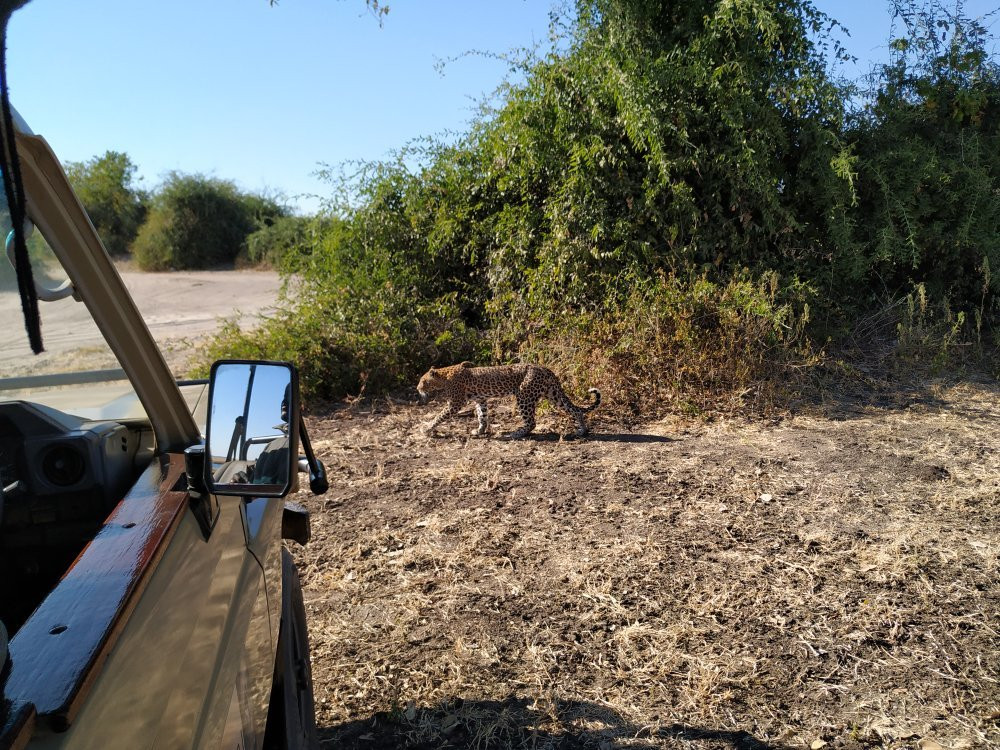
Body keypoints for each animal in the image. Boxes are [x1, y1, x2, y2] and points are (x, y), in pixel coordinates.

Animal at [416, 364, 600, 440]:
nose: (417, 388)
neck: (444, 376)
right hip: (553, 394)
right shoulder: (481, 399)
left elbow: (439, 416)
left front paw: (427, 429)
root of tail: (545, 369)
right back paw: (582, 431)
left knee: (531, 422)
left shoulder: (455, 403)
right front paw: (480, 431)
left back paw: (515, 434)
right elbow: (482, 416)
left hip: (524, 396)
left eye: (423, 381)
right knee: (575, 410)